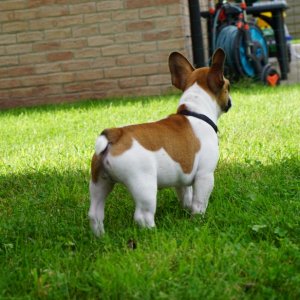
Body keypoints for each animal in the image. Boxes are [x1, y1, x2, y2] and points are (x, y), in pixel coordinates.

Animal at [88, 48, 231, 237]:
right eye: (228, 87)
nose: (230, 101)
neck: (195, 112)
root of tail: (115, 134)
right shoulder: (205, 175)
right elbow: (199, 202)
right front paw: (197, 221)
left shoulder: (181, 178)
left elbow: (186, 196)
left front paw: (186, 212)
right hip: (144, 184)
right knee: (143, 215)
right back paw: (154, 234)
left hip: (99, 182)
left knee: (95, 213)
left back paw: (100, 237)